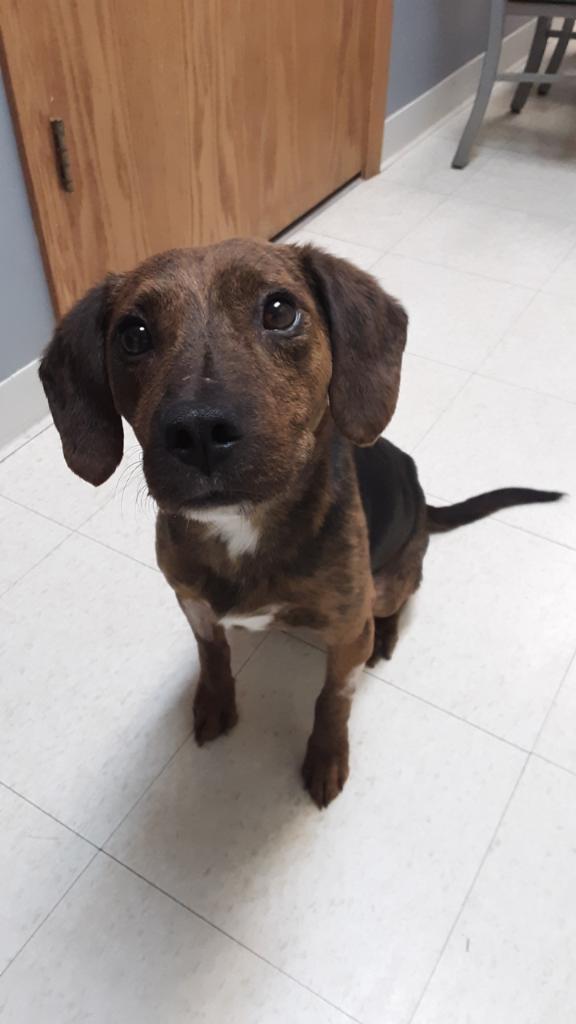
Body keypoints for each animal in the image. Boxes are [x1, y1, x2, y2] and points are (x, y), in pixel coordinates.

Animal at [39, 239, 561, 807]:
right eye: (132, 335)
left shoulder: (346, 634)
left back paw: (386, 634)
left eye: (279, 311)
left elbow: (332, 699)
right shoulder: (192, 602)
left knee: (400, 599)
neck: (244, 530)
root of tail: (424, 506)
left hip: (385, 587)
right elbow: (212, 655)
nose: (199, 431)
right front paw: (215, 702)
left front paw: (326, 757)